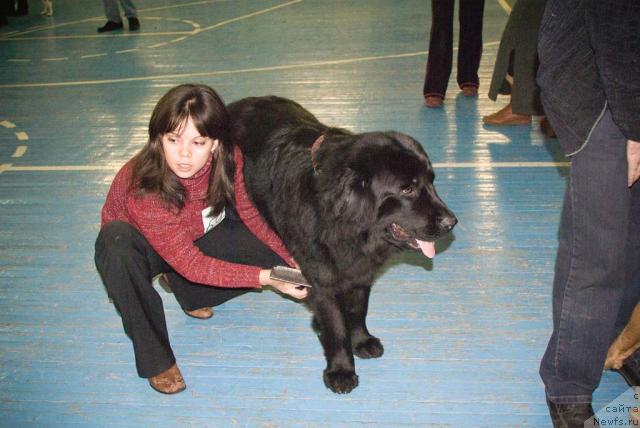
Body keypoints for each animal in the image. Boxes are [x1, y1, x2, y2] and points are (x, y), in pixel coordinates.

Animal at [228, 95, 458, 392]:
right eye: (407, 189)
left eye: (431, 181)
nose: (451, 222)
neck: (350, 227)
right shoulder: (323, 278)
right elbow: (337, 326)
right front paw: (341, 370)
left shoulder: (359, 272)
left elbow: (358, 310)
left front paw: (361, 341)